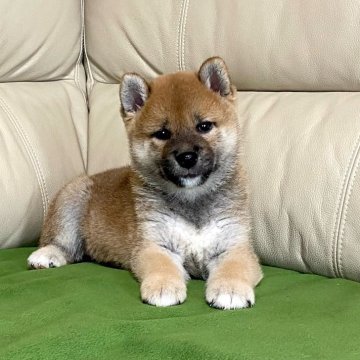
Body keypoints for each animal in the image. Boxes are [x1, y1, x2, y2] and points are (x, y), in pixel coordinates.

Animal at [27, 57, 262, 310]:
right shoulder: (153, 244)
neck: (192, 200)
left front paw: (230, 289)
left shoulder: (235, 246)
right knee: (64, 245)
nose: (187, 157)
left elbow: (234, 268)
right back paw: (46, 255)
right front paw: (163, 286)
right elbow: (162, 266)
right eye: (162, 133)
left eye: (204, 126)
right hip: (70, 202)